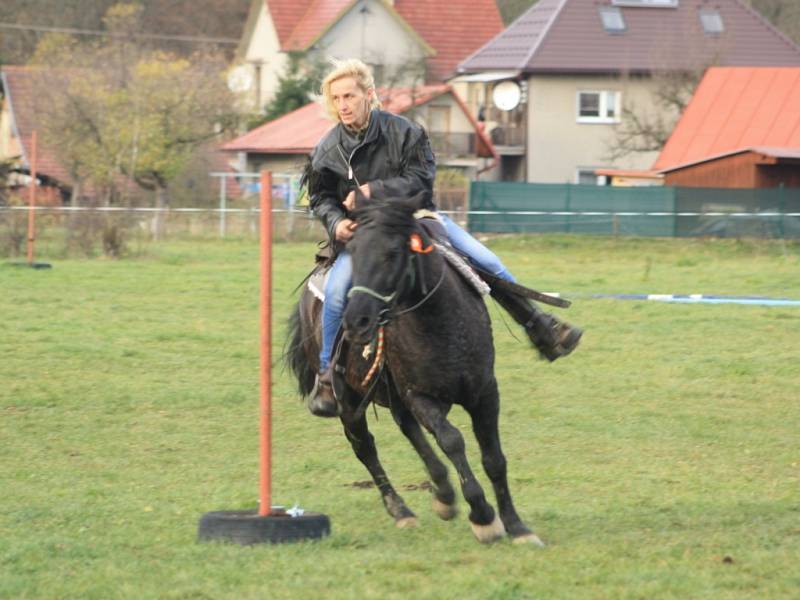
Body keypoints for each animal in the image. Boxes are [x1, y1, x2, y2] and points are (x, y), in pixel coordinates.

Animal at [288, 192, 544, 544]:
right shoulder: (419, 396)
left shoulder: (485, 393)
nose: (356, 321)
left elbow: (493, 458)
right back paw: (401, 510)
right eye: (353, 253)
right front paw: (482, 515)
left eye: (392, 253)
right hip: (350, 404)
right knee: (365, 447)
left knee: (408, 430)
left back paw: (443, 494)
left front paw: (516, 525)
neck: (441, 325)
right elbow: (452, 440)